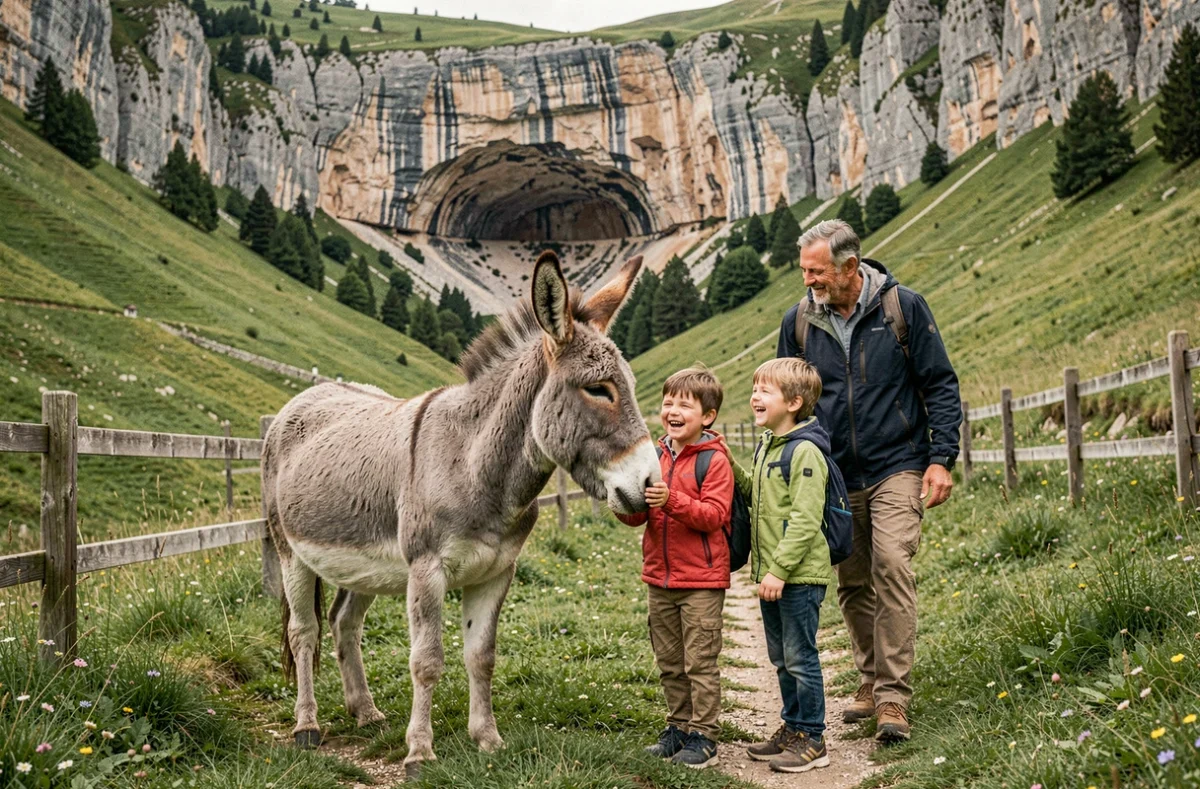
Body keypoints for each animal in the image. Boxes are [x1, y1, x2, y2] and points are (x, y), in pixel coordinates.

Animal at [261, 250, 658, 778]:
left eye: (629, 386)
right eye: (598, 389)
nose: (651, 487)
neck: (474, 465)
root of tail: (301, 399)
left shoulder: (496, 571)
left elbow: (482, 656)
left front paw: (487, 739)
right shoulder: (427, 570)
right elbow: (426, 660)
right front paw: (419, 754)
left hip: (364, 565)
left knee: (344, 622)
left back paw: (365, 711)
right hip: (292, 553)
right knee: (303, 632)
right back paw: (307, 726)